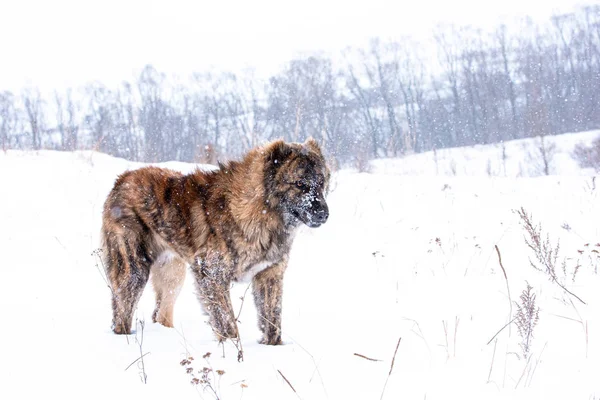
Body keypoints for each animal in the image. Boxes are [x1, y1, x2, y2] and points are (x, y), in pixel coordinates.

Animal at [101, 138, 330, 344]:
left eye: (322, 183)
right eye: (300, 184)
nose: (324, 214)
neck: (260, 211)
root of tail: (123, 179)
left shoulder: (269, 276)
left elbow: (272, 322)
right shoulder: (211, 274)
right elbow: (226, 322)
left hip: (173, 274)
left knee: (160, 314)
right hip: (133, 270)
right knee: (120, 315)